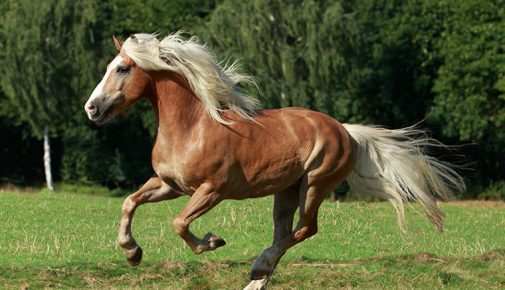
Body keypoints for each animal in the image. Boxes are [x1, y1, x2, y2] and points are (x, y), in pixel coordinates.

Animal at [83, 32, 464, 290]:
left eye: (122, 68)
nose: (92, 108)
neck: (192, 128)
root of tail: (345, 131)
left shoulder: (211, 190)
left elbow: (179, 223)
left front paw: (212, 242)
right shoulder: (168, 184)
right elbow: (129, 203)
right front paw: (132, 253)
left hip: (314, 184)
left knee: (305, 229)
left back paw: (259, 265)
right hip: (286, 191)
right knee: (286, 231)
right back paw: (257, 277)